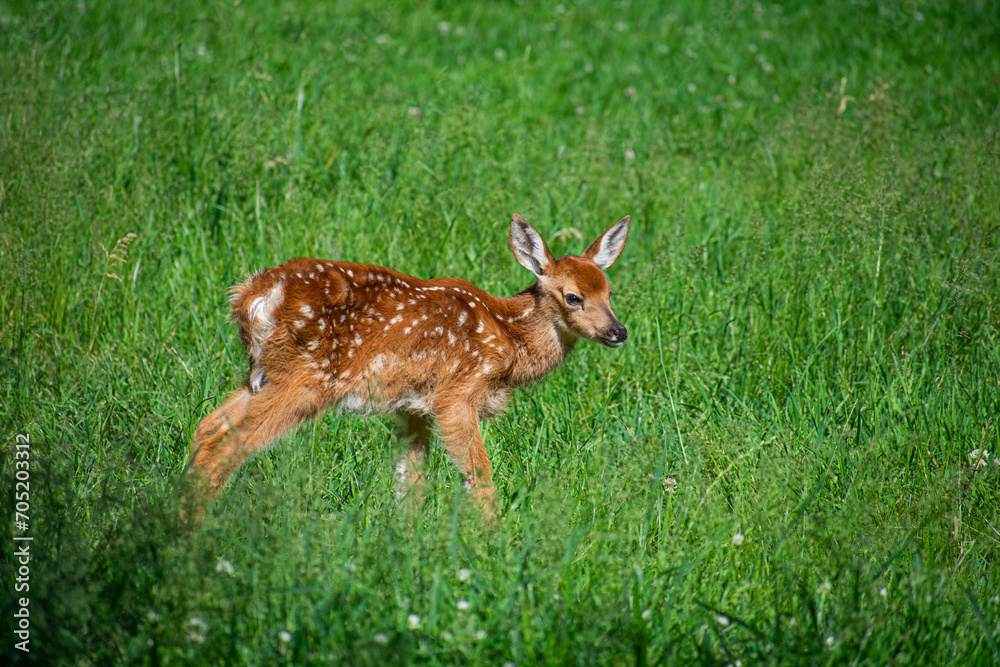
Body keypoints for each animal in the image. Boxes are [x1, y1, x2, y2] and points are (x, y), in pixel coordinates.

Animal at [185, 214, 629, 519]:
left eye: (609, 292)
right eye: (573, 297)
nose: (618, 331)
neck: (508, 338)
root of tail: (253, 297)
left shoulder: (413, 408)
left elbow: (411, 484)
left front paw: (405, 541)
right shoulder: (457, 393)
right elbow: (479, 477)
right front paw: (495, 542)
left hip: (263, 375)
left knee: (207, 427)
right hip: (307, 378)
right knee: (226, 444)